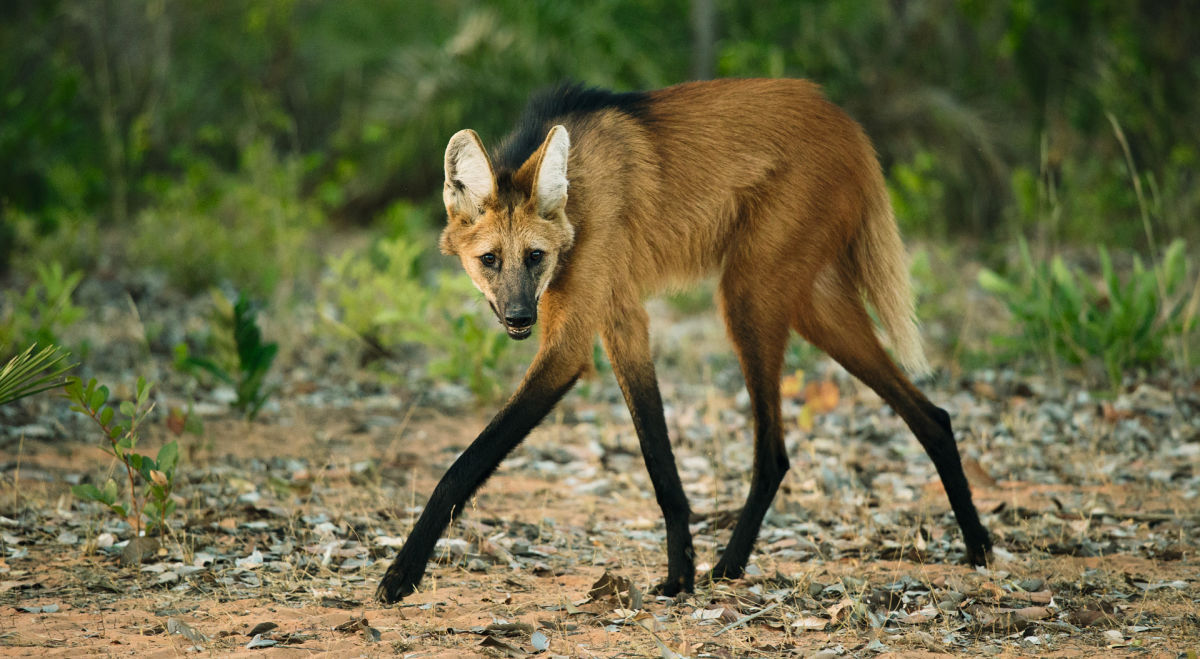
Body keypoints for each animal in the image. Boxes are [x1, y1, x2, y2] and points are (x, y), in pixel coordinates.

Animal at [376, 76, 993, 600]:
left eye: (534, 257)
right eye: (490, 260)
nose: (520, 317)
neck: (577, 195)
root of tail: (845, 120)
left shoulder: (572, 343)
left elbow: (463, 466)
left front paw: (401, 575)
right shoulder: (623, 319)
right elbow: (660, 460)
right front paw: (680, 575)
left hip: (748, 296)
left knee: (773, 452)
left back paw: (731, 565)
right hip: (812, 304)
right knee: (931, 416)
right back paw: (979, 545)